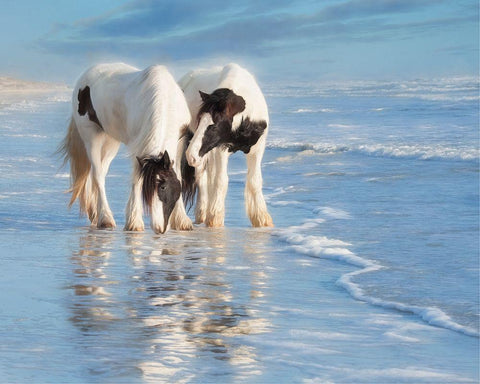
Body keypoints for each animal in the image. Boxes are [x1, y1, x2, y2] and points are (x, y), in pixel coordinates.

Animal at [60, 62, 193, 234]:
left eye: (163, 186)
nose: (158, 228)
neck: (165, 100)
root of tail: (86, 75)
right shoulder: (139, 146)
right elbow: (136, 180)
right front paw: (134, 222)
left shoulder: (178, 142)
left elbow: (178, 175)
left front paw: (182, 221)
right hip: (92, 138)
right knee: (98, 175)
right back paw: (105, 218)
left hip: (111, 142)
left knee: (101, 172)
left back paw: (95, 213)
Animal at [177, 63, 274, 228]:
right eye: (199, 120)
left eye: (214, 125)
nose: (190, 155)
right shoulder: (221, 149)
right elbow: (221, 181)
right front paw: (215, 218)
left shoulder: (257, 148)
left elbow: (255, 181)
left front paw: (261, 219)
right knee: (200, 177)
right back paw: (202, 213)